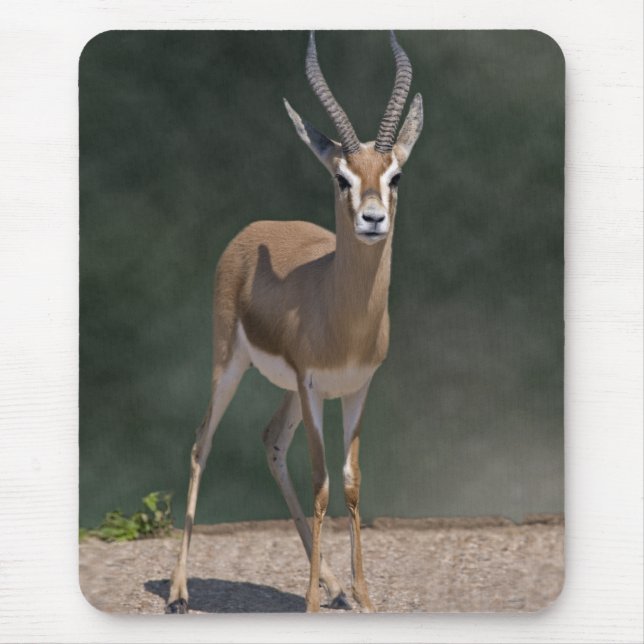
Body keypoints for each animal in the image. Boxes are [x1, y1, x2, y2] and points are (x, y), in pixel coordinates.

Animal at [166, 30, 423, 614]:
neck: (342, 313)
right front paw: (308, 601)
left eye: (395, 175)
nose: (373, 219)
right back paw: (179, 591)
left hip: (291, 391)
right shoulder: (311, 386)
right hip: (230, 364)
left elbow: (350, 483)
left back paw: (332, 584)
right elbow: (322, 482)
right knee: (201, 443)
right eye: (341, 177)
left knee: (270, 440)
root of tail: (254, 229)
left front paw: (363, 596)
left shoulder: (356, 387)